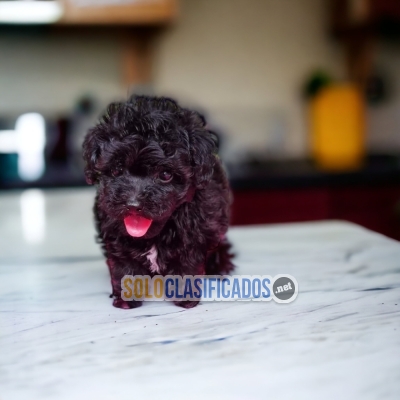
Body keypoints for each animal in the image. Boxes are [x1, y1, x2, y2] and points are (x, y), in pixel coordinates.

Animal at [83, 95, 236, 308]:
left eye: (165, 175)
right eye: (116, 170)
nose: (133, 204)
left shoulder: (196, 231)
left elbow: (187, 262)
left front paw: (185, 298)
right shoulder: (114, 229)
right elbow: (124, 264)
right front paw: (126, 298)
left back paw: (221, 266)